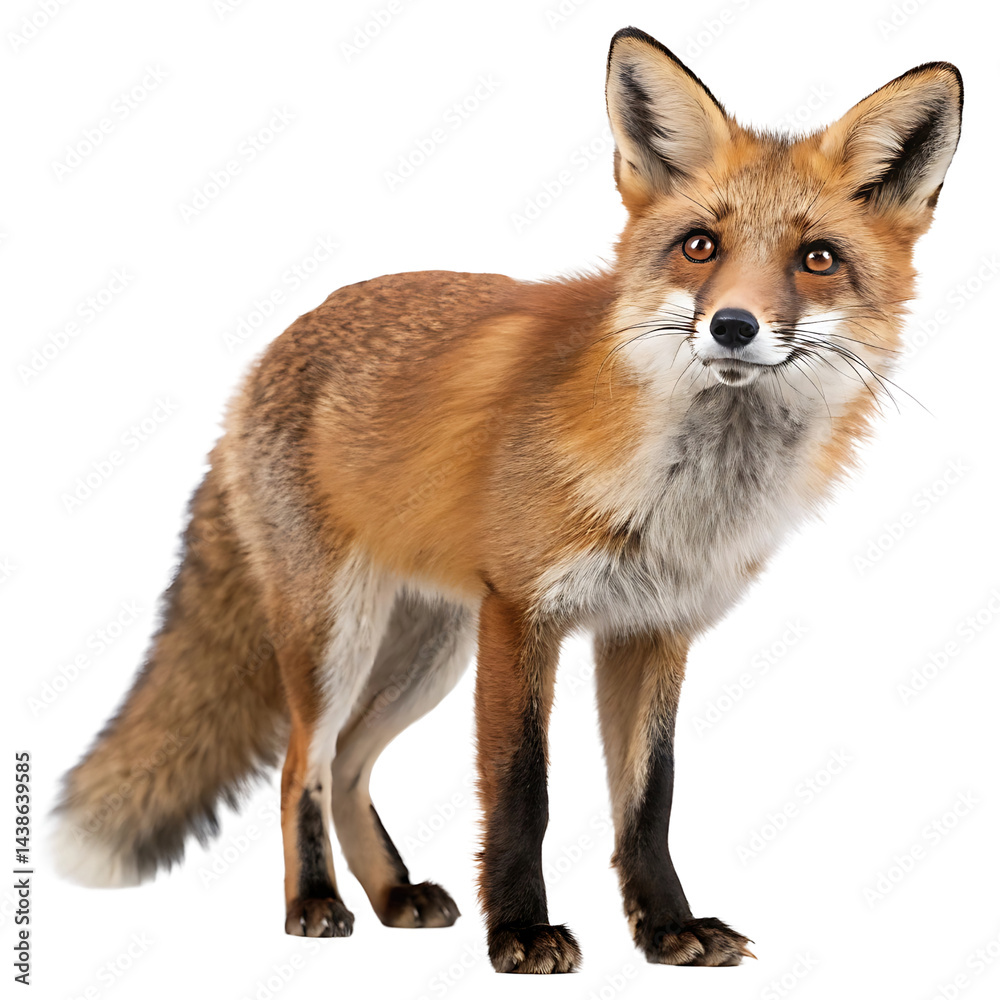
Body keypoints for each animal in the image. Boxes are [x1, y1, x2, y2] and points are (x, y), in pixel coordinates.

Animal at [53, 26, 963, 974]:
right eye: (700, 247)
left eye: (817, 259)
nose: (734, 327)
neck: (681, 493)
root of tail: (270, 351)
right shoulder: (522, 613)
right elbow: (523, 791)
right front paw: (522, 932)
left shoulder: (653, 629)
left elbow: (650, 799)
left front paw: (667, 927)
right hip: (340, 634)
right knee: (302, 760)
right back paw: (315, 901)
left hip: (430, 649)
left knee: (348, 764)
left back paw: (394, 895)